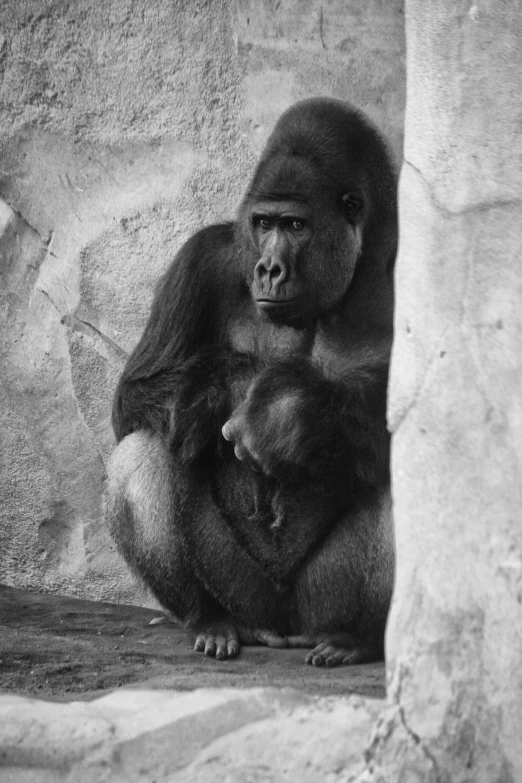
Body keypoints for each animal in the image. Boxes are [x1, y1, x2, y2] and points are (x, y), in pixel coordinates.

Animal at [105, 98, 394, 668]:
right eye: (263, 223)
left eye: (296, 225)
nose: (269, 269)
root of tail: (282, 630)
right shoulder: (202, 256)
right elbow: (134, 395)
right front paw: (233, 386)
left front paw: (287, 412)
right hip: (245, 593)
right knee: (146, 443)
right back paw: (210, 619)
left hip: (317, 603)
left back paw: (355, 639)